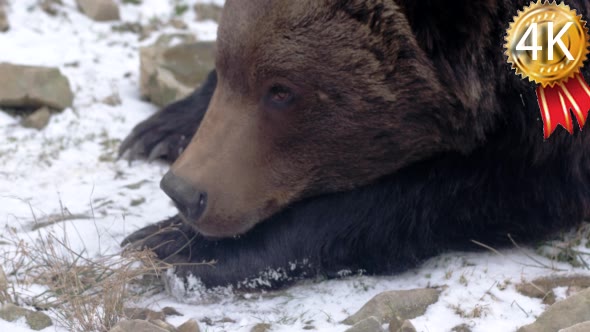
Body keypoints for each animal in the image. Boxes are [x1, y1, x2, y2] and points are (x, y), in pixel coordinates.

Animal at [120, 0, 590, 290]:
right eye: (226, 60)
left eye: (282, 90)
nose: (183, 192)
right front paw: (159, 130)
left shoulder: (550, 142)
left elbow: (475, 188)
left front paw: (172, 243)